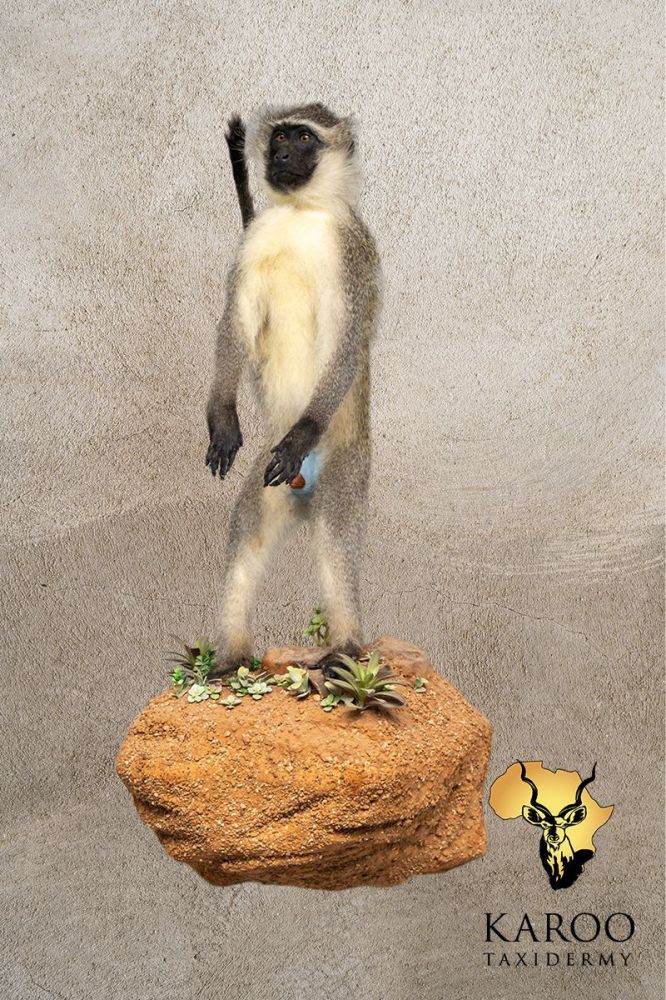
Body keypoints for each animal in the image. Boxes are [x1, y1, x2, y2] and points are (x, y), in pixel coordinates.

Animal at [205, 102, 380, 679]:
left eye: (304, 139)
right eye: (280, 136)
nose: (280, 156)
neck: (300, 213)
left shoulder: (351, 253)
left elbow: (347, 342)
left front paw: (302, 432)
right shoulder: (253, 241)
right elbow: (235, 322)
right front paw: (221, 418)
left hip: (347, 463)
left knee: (333, 535)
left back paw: (346, 646)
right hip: (268, 480)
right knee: (248, 530)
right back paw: (232, 654)